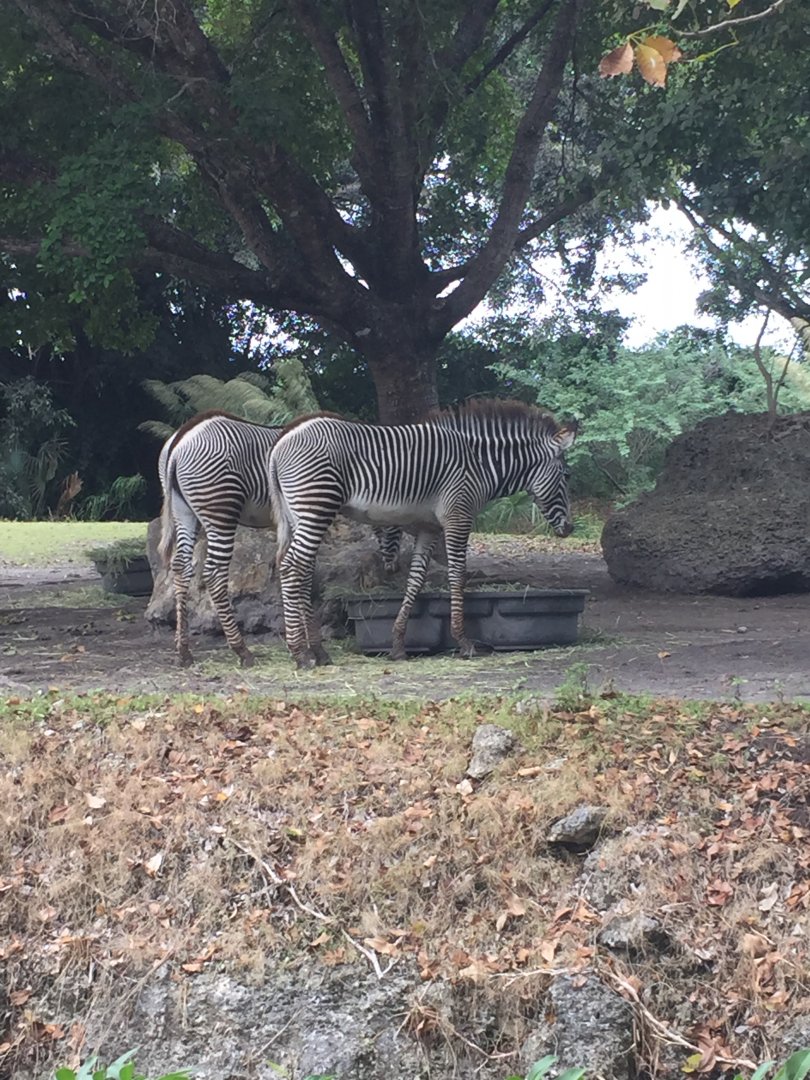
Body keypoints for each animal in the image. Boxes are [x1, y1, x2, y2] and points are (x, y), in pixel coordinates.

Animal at [158, 410, 403, 668]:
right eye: (395, 526)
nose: (393, 568)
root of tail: (181, 440)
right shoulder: (311, 517)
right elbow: (303, 571)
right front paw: (313, 649)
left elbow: (302, 572)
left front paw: (308, 647)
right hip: (220, 511)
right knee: (214, 573)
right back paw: (243, 651)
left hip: (183, 512)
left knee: (181, 567)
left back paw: (184, 653)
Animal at [269, 399, 577, 669]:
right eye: (565, 475)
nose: (570, 529)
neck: (478, 463)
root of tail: (281, 440)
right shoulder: (458, 516)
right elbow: (457, 575)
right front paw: (464, 643)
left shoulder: (430, 527)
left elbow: (416, 581)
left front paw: (397, 646)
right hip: (317, 505)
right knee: (293, 566)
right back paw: (300, 654)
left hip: (298, 514)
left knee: (297, 567)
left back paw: (318, 652)